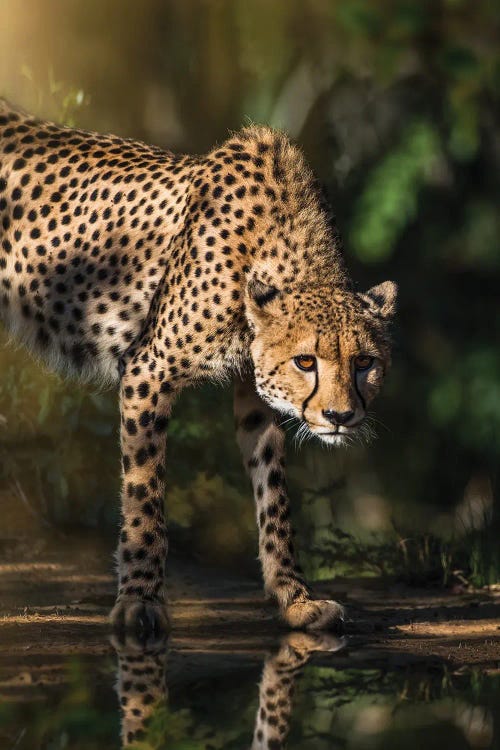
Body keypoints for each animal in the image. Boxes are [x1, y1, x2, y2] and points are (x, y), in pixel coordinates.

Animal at [0, 100, 398, 636]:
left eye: (364, 363)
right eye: (306, 361)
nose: (339, 417)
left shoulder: (255, 395)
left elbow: (274, 496)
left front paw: (294, 598)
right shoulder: (146, 372)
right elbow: (145, 496)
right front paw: (140, 599)